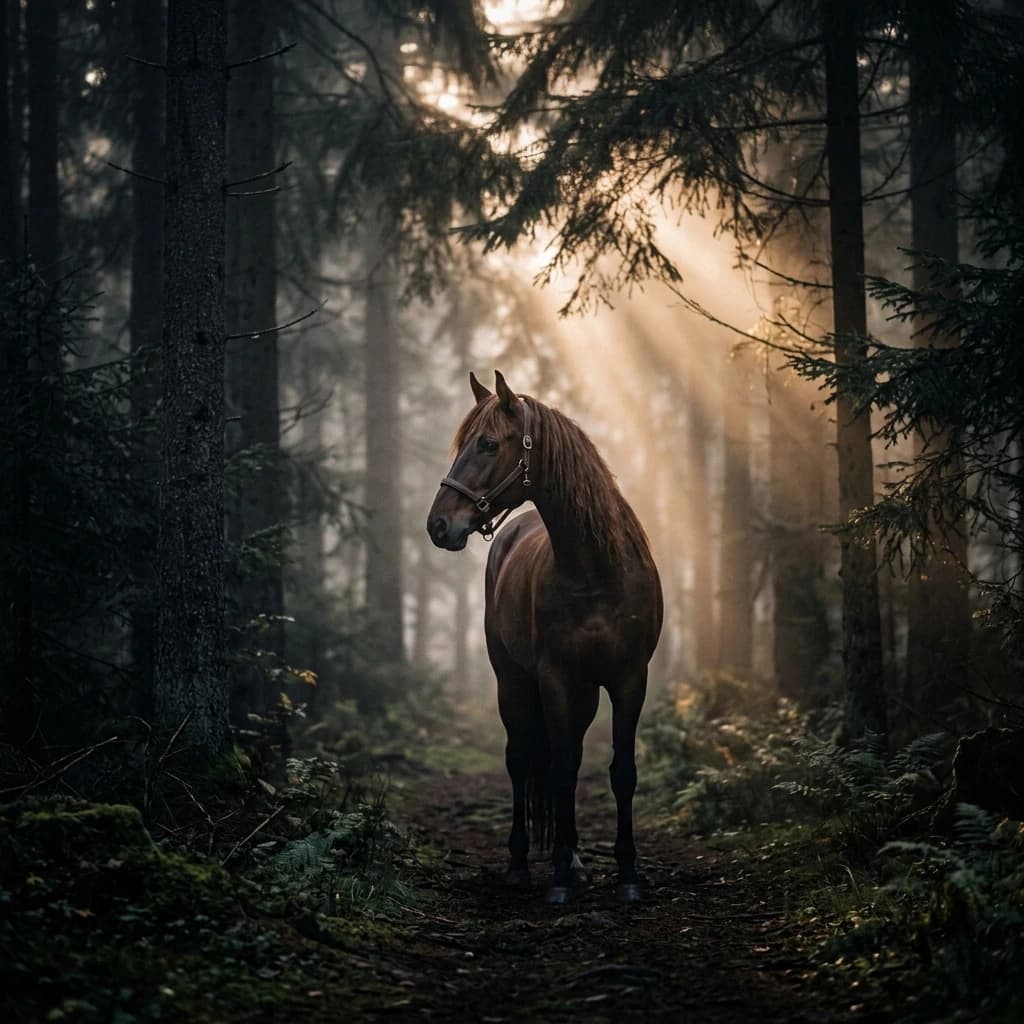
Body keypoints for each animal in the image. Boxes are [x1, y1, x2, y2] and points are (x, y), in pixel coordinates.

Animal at [426, 371, 663, 904]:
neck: (596, 574)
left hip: (585, 694)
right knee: (521, 760)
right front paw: (556, 878)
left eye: (488, 444)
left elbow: (621, 771)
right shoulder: (554, 679)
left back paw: (573, 858)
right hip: (512, 682)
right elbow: (559, 767)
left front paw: (627, 874)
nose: (438, 525)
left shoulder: (628, 681)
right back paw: (521, 863)